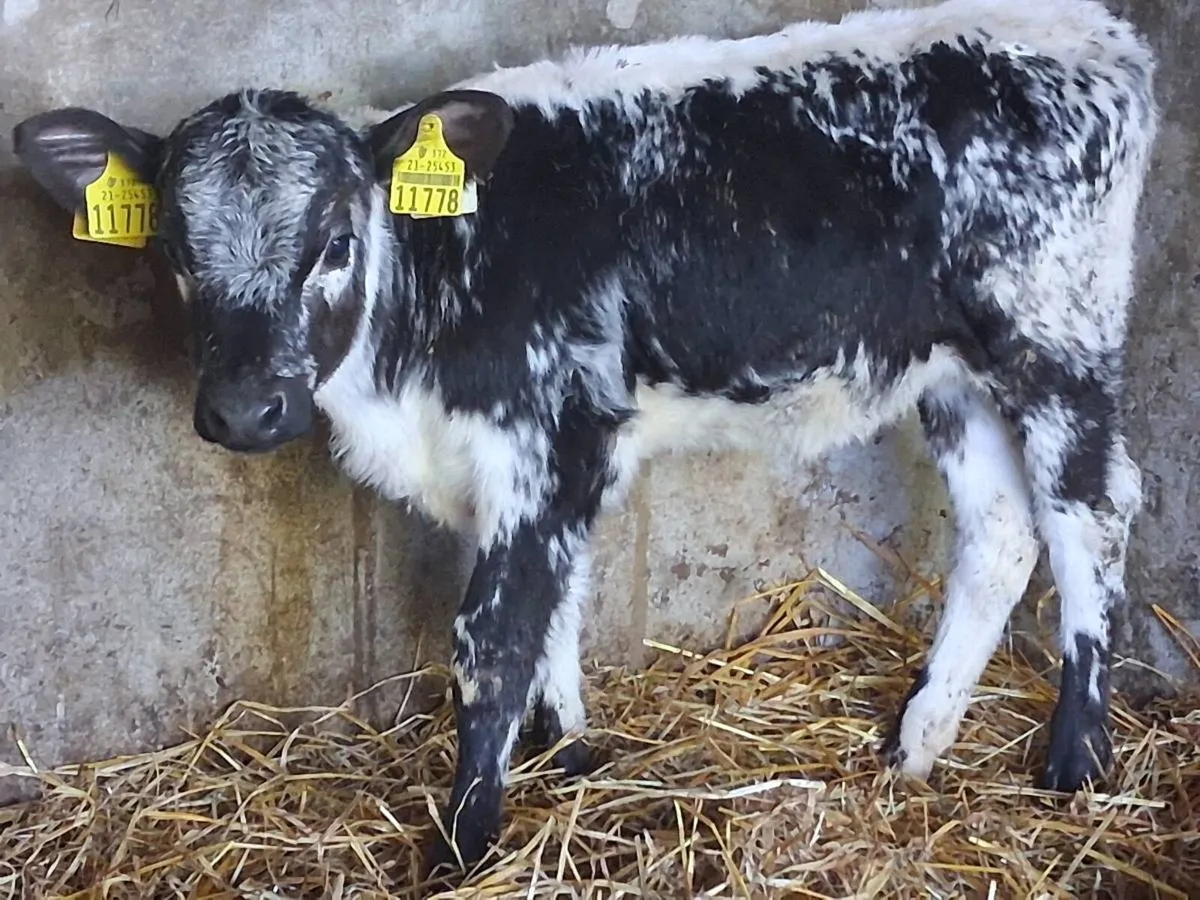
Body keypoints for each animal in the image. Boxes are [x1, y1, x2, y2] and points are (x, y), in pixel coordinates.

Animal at [12, 0, 1158, 876]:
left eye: (336, 239)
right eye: (172, 247)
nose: (247, 411)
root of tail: (1095, 32)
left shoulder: (548, 439)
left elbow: (495, 634)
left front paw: (465, 842)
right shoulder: (535, 460)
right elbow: (555, 607)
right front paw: (569, 761)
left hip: (1057, 338)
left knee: (1092, 513)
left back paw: (1075, 760)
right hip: (948, 368)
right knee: (1002, 532)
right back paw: (916, 748)